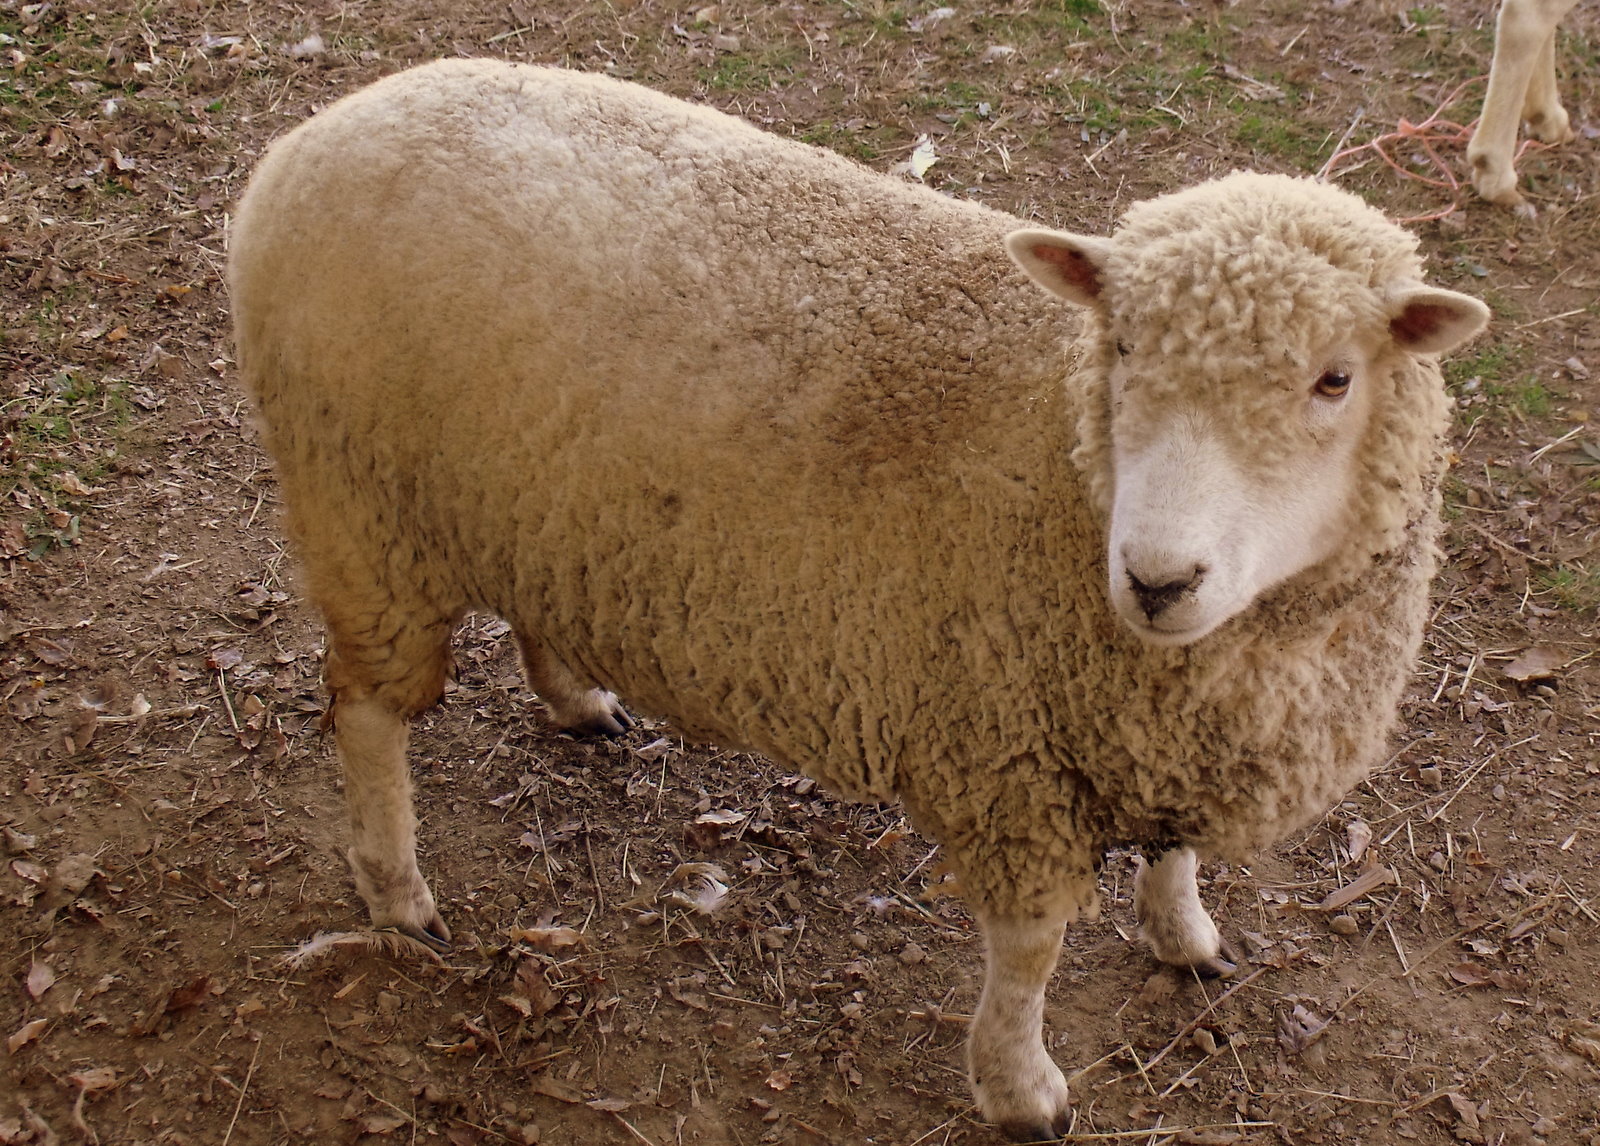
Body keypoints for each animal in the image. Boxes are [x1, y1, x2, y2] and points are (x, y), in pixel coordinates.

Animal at [226, 59, 1489, 1140]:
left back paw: (574, 697)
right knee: (366, 713)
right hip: (364, 515)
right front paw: (1019, 1085)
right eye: (1121, 347)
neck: (1057, 446)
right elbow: (1028, 954)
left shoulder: (1161, 735)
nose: (1155, 577)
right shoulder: (1010, 758)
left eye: (1335, 379)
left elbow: (1174, 854)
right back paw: (396, 889)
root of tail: (306, 141)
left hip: (534, 496)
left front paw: (1185, 935)